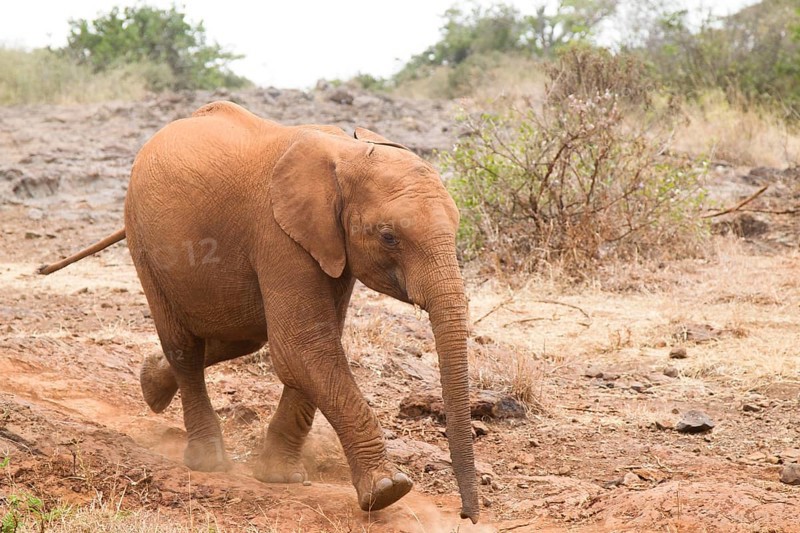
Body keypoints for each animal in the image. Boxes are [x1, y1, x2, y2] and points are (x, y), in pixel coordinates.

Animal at [38, 101, 479, 523]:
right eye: (389, 237)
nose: (467, 515)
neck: (346, 151)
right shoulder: (278, 234)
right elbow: (303, 346)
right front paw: (388, 490)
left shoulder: (326, 244)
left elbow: (311, 346)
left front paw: (279, 477)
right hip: (143, 242)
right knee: (185, 346)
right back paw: (207, 461)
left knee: (239, 336)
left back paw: (151, 384)